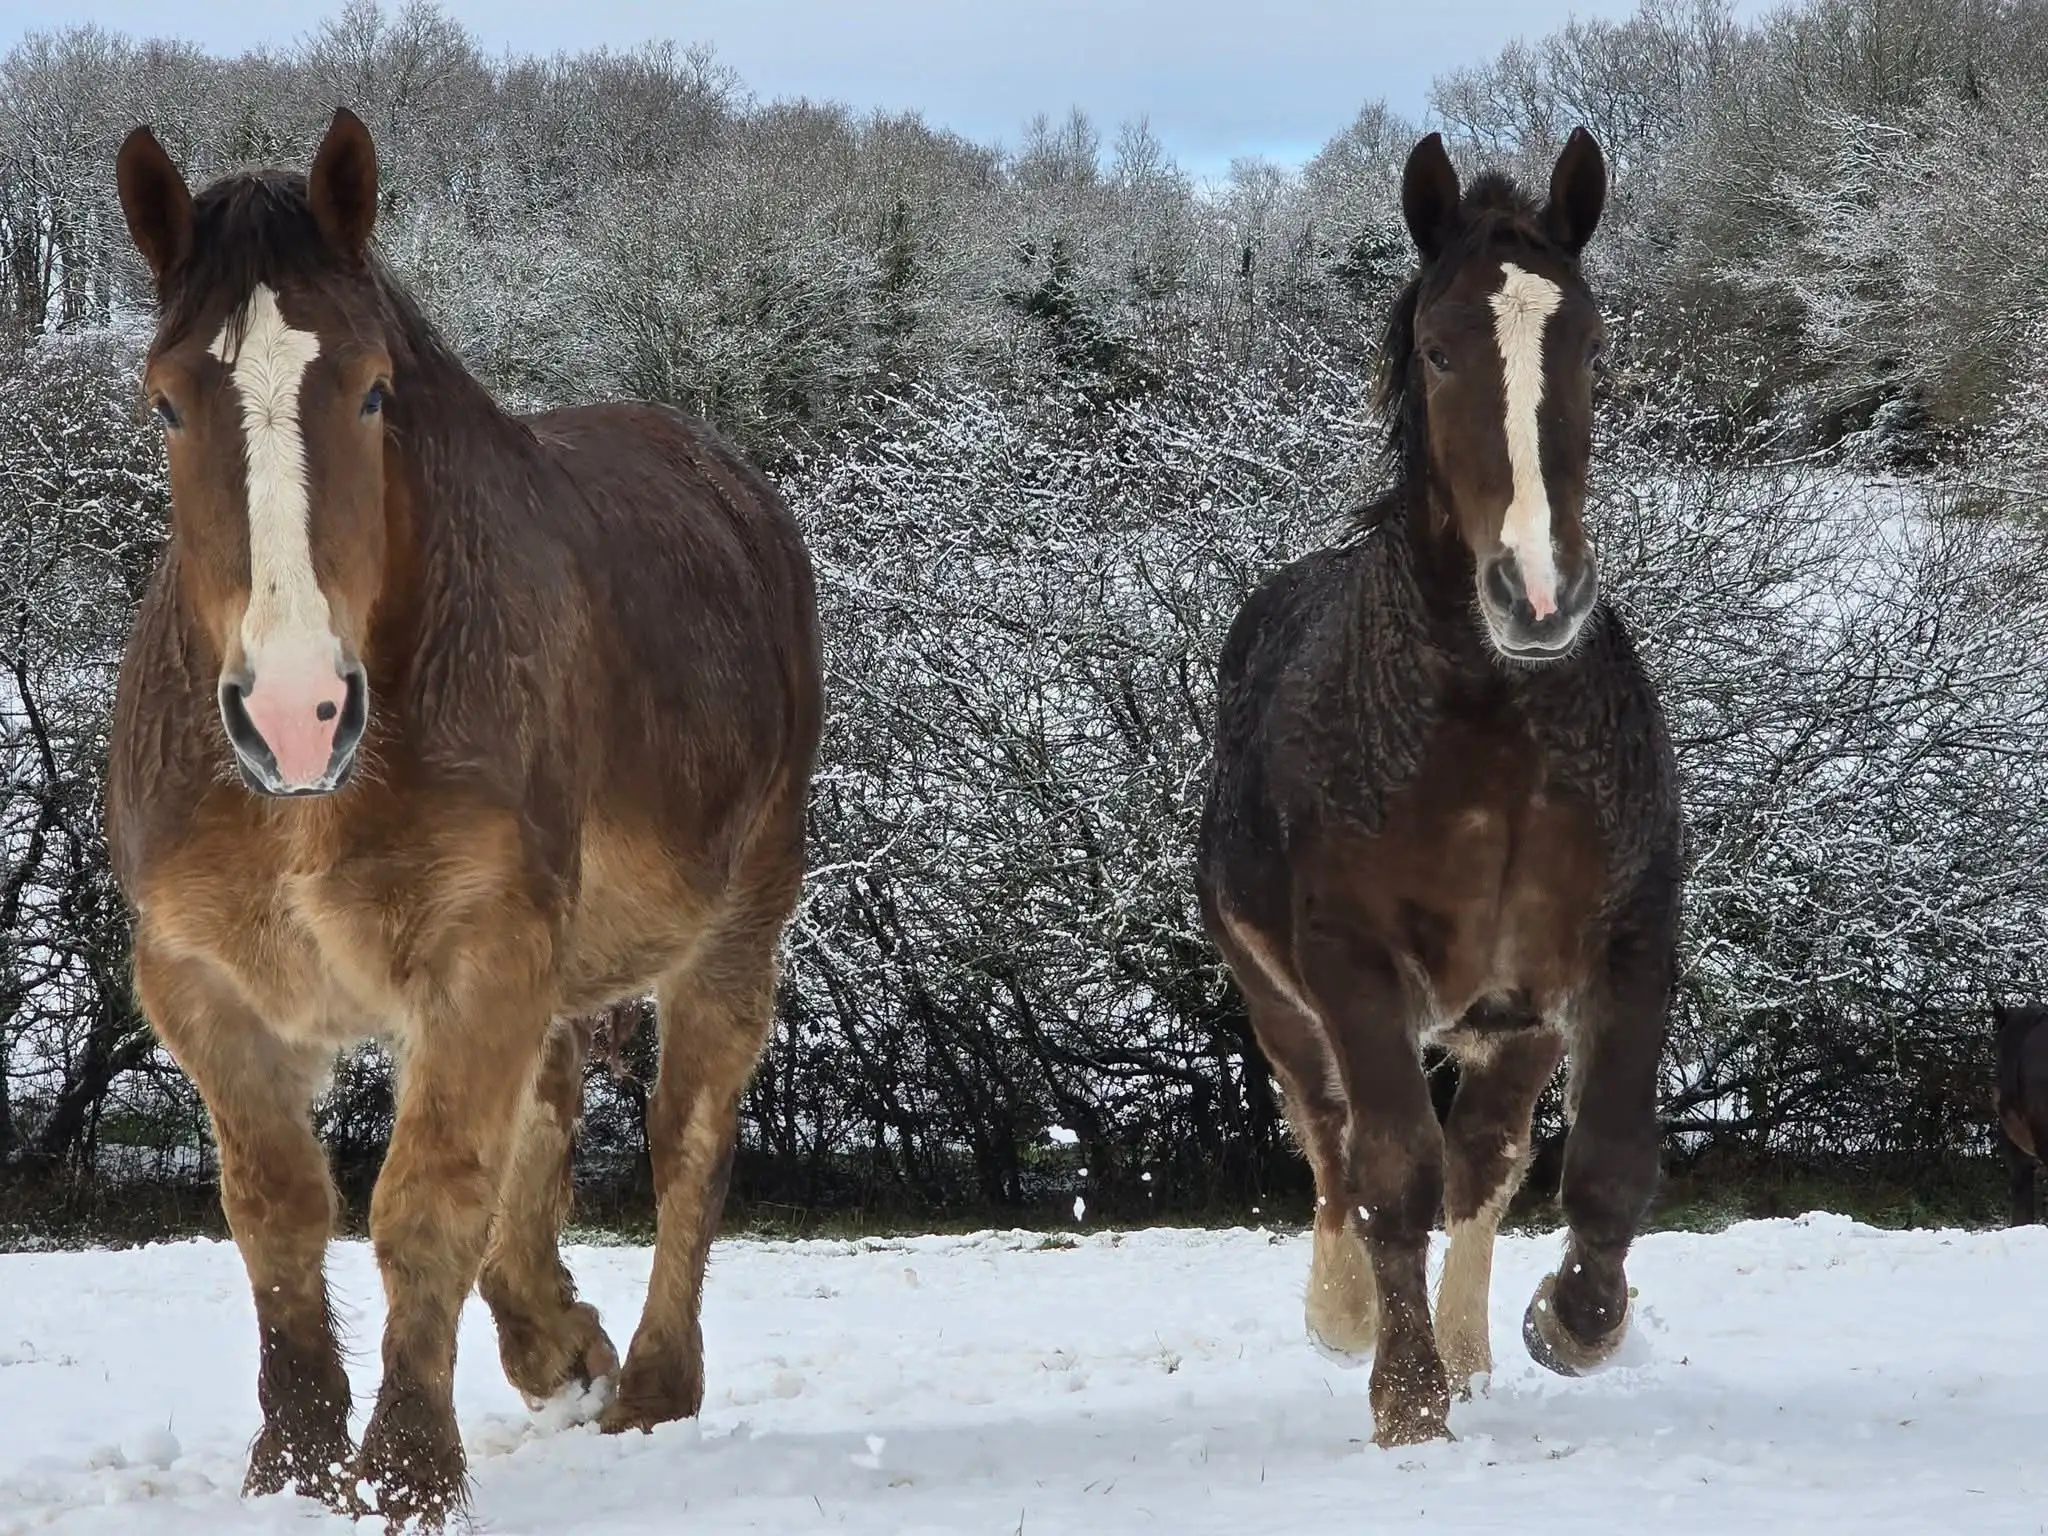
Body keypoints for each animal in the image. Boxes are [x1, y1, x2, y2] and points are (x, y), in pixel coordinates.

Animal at [107, 110, 822, 1525]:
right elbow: (280, 1212)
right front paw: (295, 1466)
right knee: (539, 1142)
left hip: (730, 930)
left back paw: (648, 1382)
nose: (295, 711)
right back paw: (558, 1344)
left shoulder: (481, 952)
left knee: (685, 1140)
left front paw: (405, 1474)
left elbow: (427, 1201)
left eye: (374, 391)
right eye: (166, 399)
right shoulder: (201, 981)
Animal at [1195, 128, 1682, 1447]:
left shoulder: (1622, 945)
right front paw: (1403, 1399)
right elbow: (1386, 1172)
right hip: (1278, 998)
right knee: (1329, 1144)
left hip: (1508, 1025)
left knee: (1485, 1159)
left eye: (1590, 343)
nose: (1537, 593)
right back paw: (1346, 1314)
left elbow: (1604, 1165)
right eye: (1436, 345)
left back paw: (1466, 1345)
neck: (1484, 731)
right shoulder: (1352, 965)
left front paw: (1564, 1325)